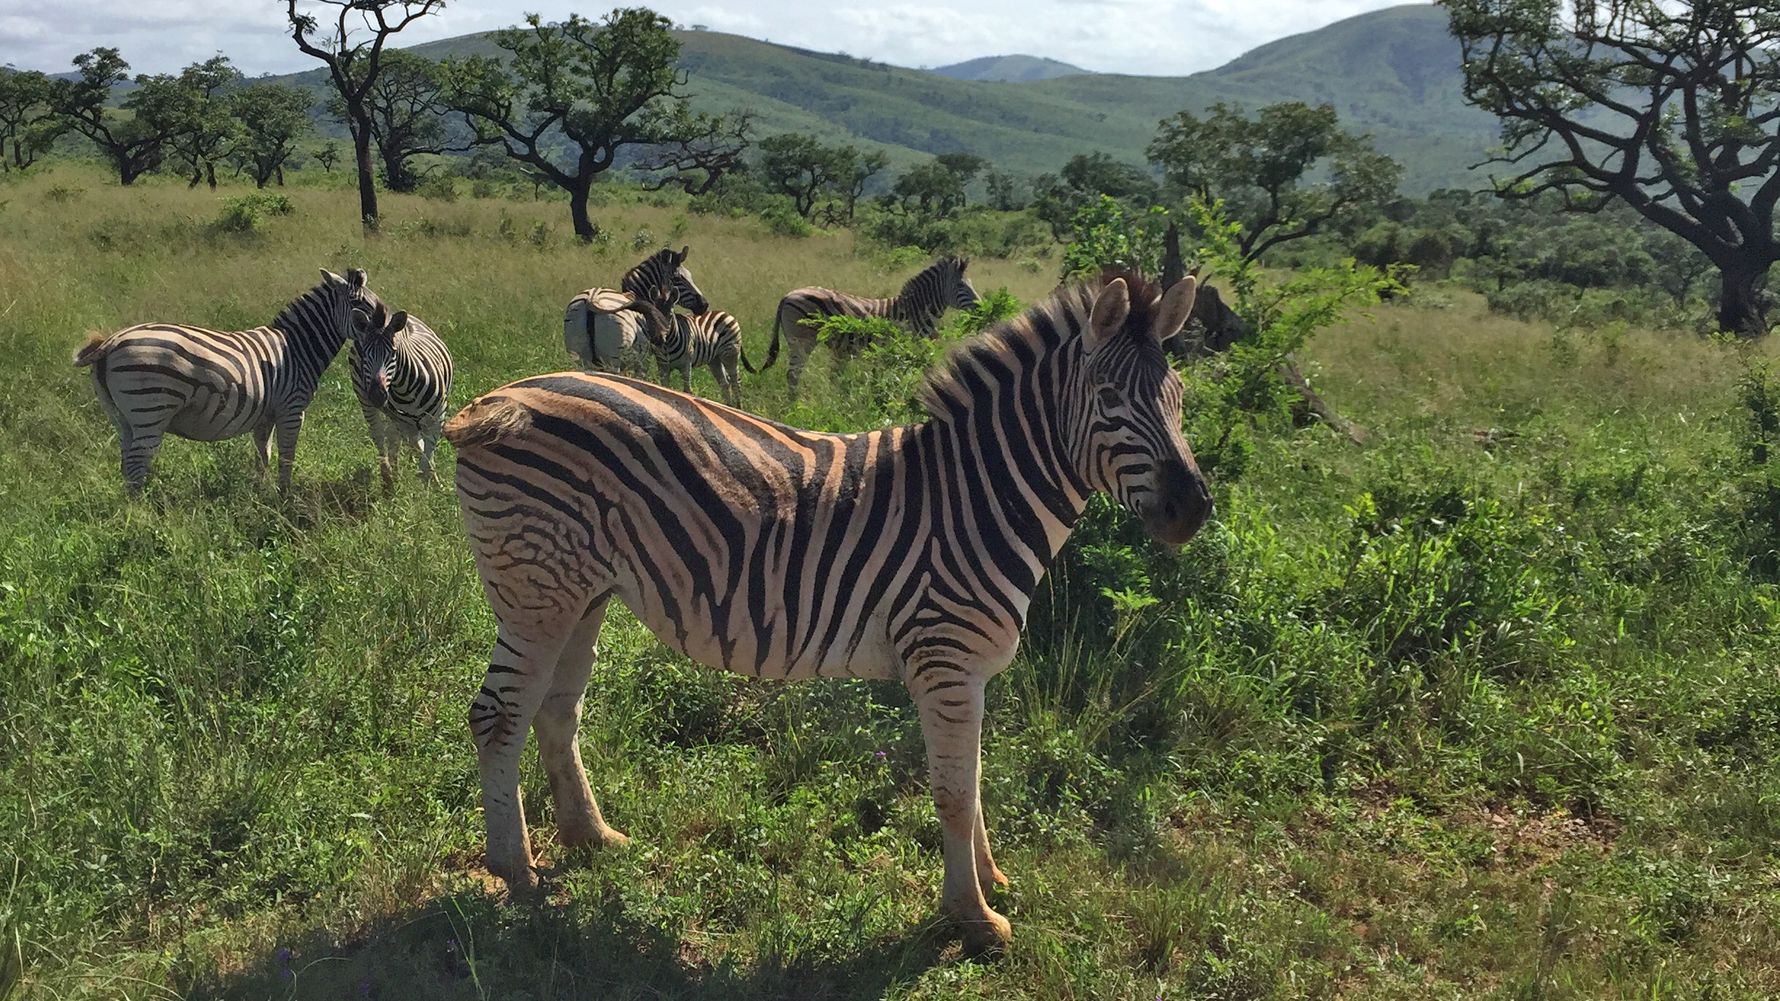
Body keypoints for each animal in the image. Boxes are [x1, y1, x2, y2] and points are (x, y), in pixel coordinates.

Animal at [73, 268, 385, 496]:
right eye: (360, 305)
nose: (388, 329)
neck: (297, 348)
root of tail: (111, 342)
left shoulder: (266, 414)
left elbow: (263, 455)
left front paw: (259, 492)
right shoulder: (292, 409)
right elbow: (287, 455)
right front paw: (284, 495)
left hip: (122, 418)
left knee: (127, 464)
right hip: (150, 409)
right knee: (137, 466)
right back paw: (141, 515)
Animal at [349, 308, 454, 489]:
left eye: (393, 352)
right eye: (364, 354)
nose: (377, 395)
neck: (405, 389)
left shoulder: (437, 417)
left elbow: (428, 451)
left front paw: (432, 483)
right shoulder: (404, 422)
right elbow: (420, 450)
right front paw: (424, 480)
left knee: (398, 440)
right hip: (366, 402)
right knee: (380, 436)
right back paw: (388, 478)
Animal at [443, 270, 1213, 955]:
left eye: (1178, 397)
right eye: (1110, 399)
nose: (1195, 509)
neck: (976, 497)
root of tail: (497, 397)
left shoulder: (969, 672)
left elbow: (974, 783)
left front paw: (991, 881)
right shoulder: (944, 661)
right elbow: (954, 793)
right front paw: (973, 918)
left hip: (581, 591)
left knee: (556, 709)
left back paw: (592, 837)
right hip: (536, 588)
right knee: (499, 716)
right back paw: (515, 871)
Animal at [759, 255, 980, 402]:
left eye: (971, 284)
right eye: (961, 286)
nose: (980, 307)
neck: (913, 312)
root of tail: (788, 295)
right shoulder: (902, 349)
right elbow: (899, 378)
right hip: (802, 340)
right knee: (793, 375)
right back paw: (794, 407)